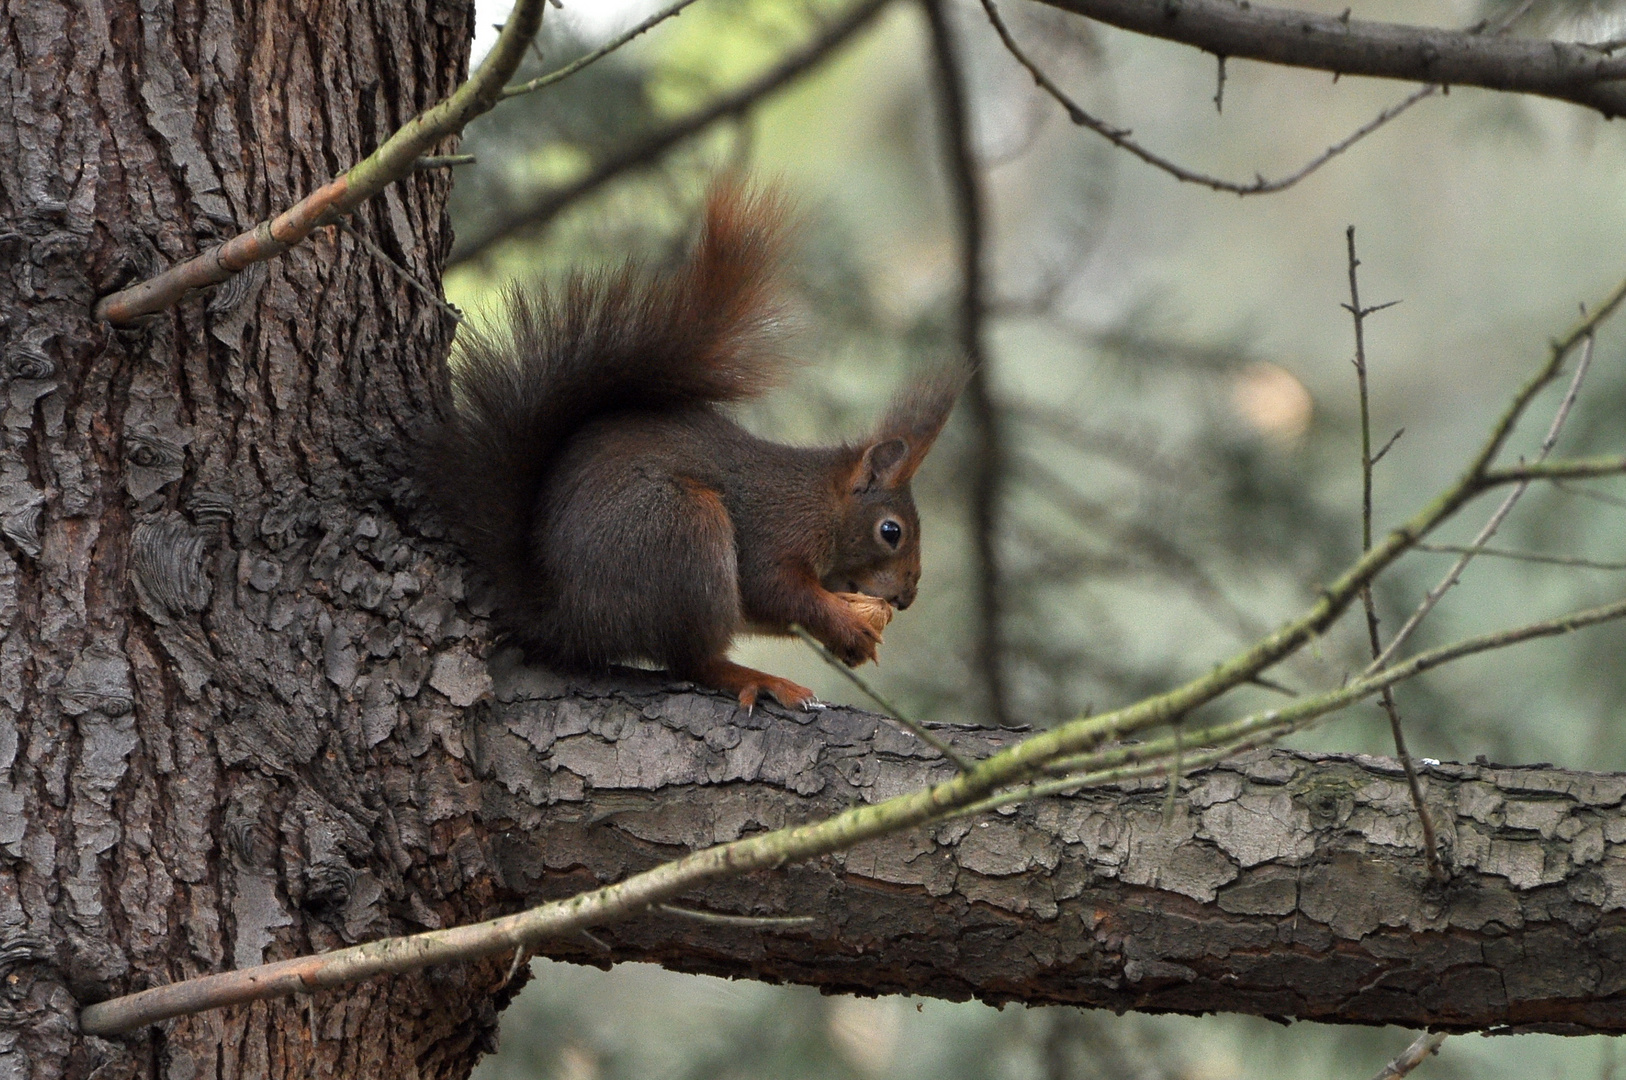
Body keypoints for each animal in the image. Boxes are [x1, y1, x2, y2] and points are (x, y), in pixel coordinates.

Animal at [422, 182, 962, 712]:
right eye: (891, 531)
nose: (908, 595)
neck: (822, 502)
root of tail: (562, 617)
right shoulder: (777, 528)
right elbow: (773, 590)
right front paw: (845, 624)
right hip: (683, 533)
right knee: (691, 661)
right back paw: (758, 679)